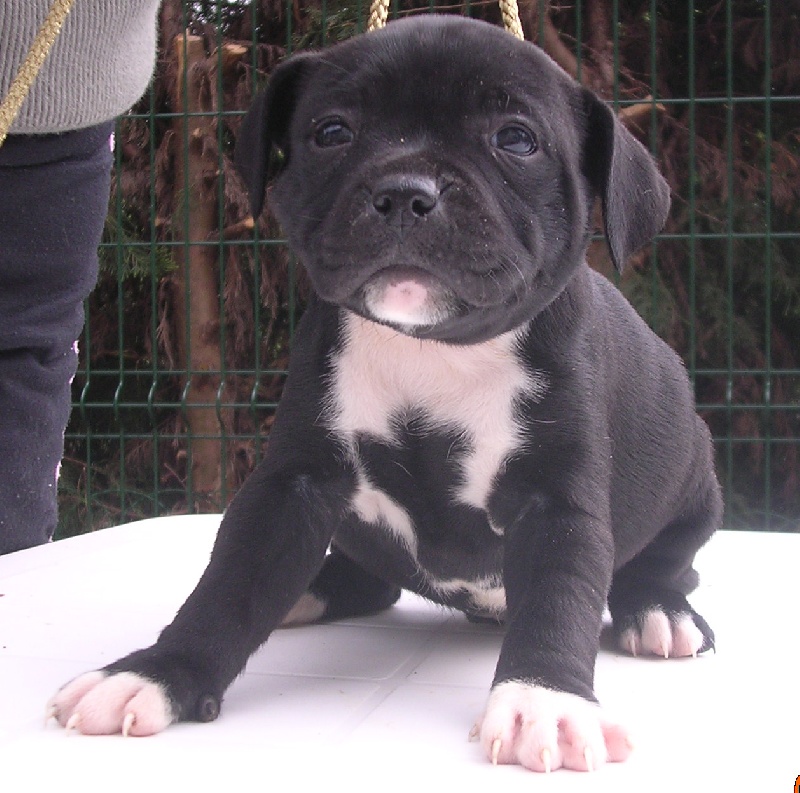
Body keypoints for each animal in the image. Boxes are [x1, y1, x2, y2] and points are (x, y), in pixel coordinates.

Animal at [51, 15, 724, 772]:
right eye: (332, 132)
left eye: (516, 139)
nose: (406, 190)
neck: (434, 349)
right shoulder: (294, 485)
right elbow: (231, 581)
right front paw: (156, 672)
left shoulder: (556, 500)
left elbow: (560, 593)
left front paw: (544, 699)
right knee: (364, 578)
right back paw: (306, 592)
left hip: (695, 480)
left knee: (665, 564)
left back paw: (658, 611)